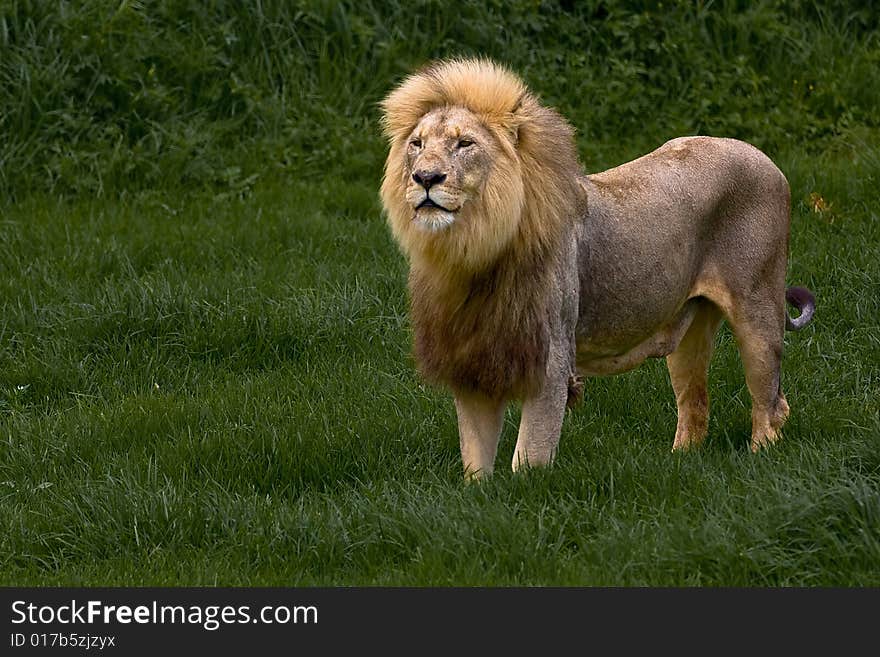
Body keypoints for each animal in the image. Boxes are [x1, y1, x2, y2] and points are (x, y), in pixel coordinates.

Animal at [374, 57, 816, 476]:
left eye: (464, 143)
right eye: (416, 144)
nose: (425, 177)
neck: (468, 252)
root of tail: (762, 156)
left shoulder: (551, 365)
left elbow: (529, 459)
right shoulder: (475, 365)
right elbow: (475, 464)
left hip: (758, 309)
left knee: (771, 403)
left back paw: (758, 460)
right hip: (689, 329)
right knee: (695, 404)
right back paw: (678, 463)